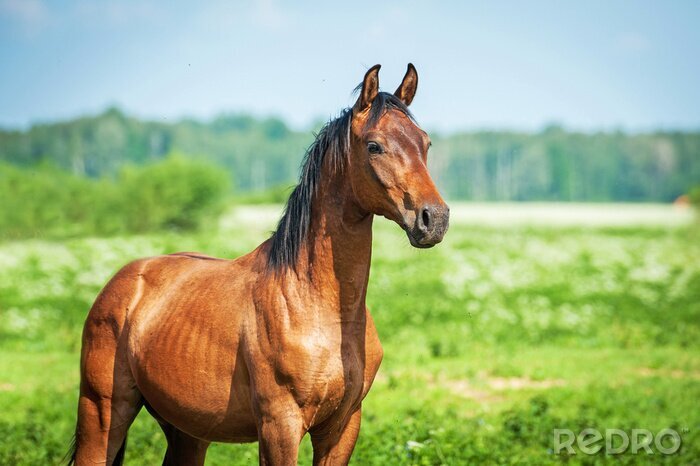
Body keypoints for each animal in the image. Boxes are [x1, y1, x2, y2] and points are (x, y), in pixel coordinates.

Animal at [67, 63, 448, 464]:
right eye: (374, 146)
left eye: (425, 143)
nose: (434, 219)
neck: (320, 309)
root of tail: (124, 282)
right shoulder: (280, 427)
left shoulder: (342, 428)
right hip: (102, 413)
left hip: (188, 432)